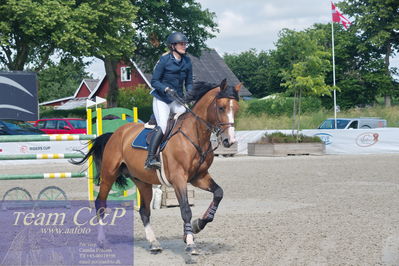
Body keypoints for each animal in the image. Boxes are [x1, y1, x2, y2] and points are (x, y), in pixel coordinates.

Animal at [75, 78, 241, 254]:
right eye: (221, 107)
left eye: (236, 109)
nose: (229, 141)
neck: (195, 135)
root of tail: (116, 133)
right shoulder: (178, 179)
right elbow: (185, 209)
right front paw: (190, 242)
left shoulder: (199, 177)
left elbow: (218, 193)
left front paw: (197, 225)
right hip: (109, 174)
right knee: (100, 203)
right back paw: (102, 241)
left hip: (142, 181)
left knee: (144, 210)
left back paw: (154, 242)